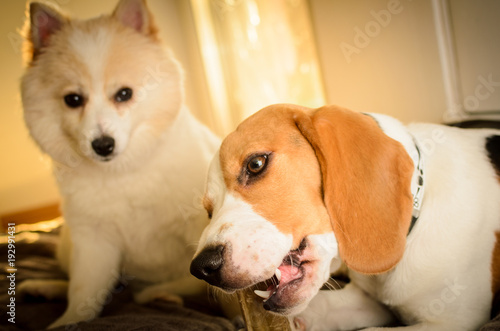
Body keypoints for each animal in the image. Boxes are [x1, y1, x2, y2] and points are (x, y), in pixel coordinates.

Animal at [191, 104, 500, 331]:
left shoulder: (454, 320)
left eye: (256, 164)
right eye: (209, 211)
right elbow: (324, 308)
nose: (201, 268)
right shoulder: (367, 301)